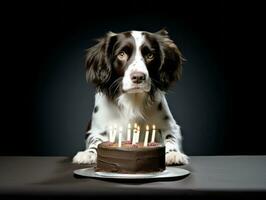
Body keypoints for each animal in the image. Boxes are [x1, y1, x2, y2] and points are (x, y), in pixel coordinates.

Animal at [72, 28, 189, 165]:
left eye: (150, 55)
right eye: (121, 54)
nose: (138, 77)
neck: (133, 100)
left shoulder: (171, 126)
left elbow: (170, 138)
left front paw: (173, 153)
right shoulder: (96, 130)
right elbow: (96, 141)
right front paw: (88, 153)